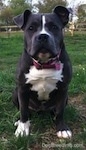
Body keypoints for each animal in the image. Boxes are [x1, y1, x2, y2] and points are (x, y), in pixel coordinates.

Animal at [12, 5, 72, 138]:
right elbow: (23, 110)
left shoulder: (63, 89)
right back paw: (19, 121)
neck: (44, 64)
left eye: (54, 27)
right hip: (15, 92)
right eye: (31, 28)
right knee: (25, 110)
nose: (43, 36)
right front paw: (23, 129)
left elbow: (60, 111)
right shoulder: (22, 88)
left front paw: (62, 128)